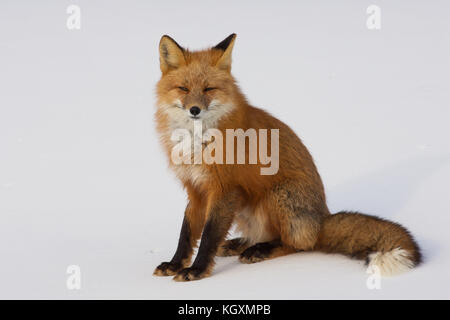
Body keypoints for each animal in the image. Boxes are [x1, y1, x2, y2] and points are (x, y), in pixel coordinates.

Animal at [153, 33, 420, 282]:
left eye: (209, 89)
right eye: (184, 89)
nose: (194, 110)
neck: (197, 141)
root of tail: (322, 218)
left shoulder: (223, 188)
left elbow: (209, 235)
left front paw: (196, 270)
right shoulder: (196, 188)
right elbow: (187, 233)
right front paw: (175, 264)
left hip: (277, 195)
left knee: (297, 243)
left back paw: (260, 250)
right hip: (245, 207)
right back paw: (241, 244)